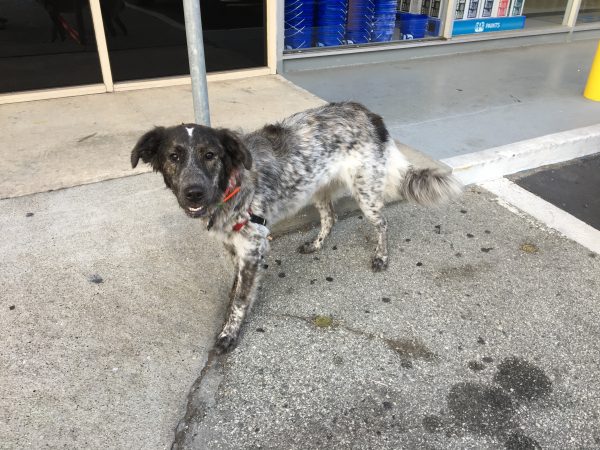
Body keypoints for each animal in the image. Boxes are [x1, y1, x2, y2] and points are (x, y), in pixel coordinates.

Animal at [130, 102, 460, 352]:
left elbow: (240, 300)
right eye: (174, 156)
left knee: (383, 223)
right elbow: (237, 288)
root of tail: (368, 113)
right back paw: (316, 244)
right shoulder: (235, 246)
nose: (193, 193)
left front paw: (229, 332)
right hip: (318, 189)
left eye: (210, 155)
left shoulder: (253, 246)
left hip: (365, 193)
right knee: (330, 217)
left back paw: (381, 256)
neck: (231, 184)